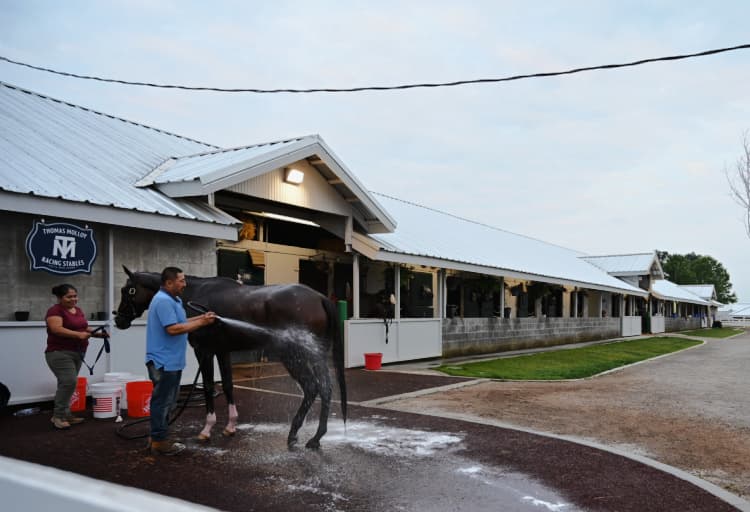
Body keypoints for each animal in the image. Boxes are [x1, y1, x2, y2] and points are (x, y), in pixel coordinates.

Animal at [113, 266, 348, 450]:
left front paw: (207, 429)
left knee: (312, 387)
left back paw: (299, 435)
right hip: (312, 355)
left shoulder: (204, 351)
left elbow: (209, 386)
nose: (118, 320)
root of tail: (319, 297)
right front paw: (230, 426)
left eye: (128, 290)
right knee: (324, 388)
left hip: (294, 356)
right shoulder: (222, 351)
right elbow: (227, 385)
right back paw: (315, 437)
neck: (194, 294)